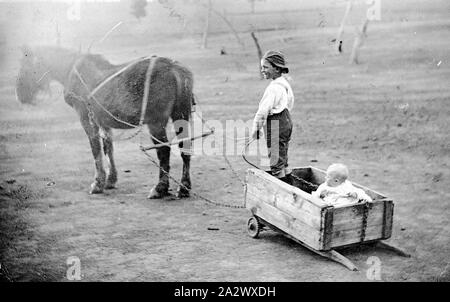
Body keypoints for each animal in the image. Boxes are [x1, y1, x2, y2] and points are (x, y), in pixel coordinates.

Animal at [15, 45, 195, 198]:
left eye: (25, 65)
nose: (20, 95)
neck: (72, 70)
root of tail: (175, 69)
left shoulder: (87, 120)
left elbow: (96, 150)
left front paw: (98, 183)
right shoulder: (104, 122)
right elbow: (108, 148)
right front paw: (110, 180)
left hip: (156, 122)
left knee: (164, 150)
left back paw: (160, 188)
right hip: (181, 115)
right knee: (185, 148)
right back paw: (184, 187)